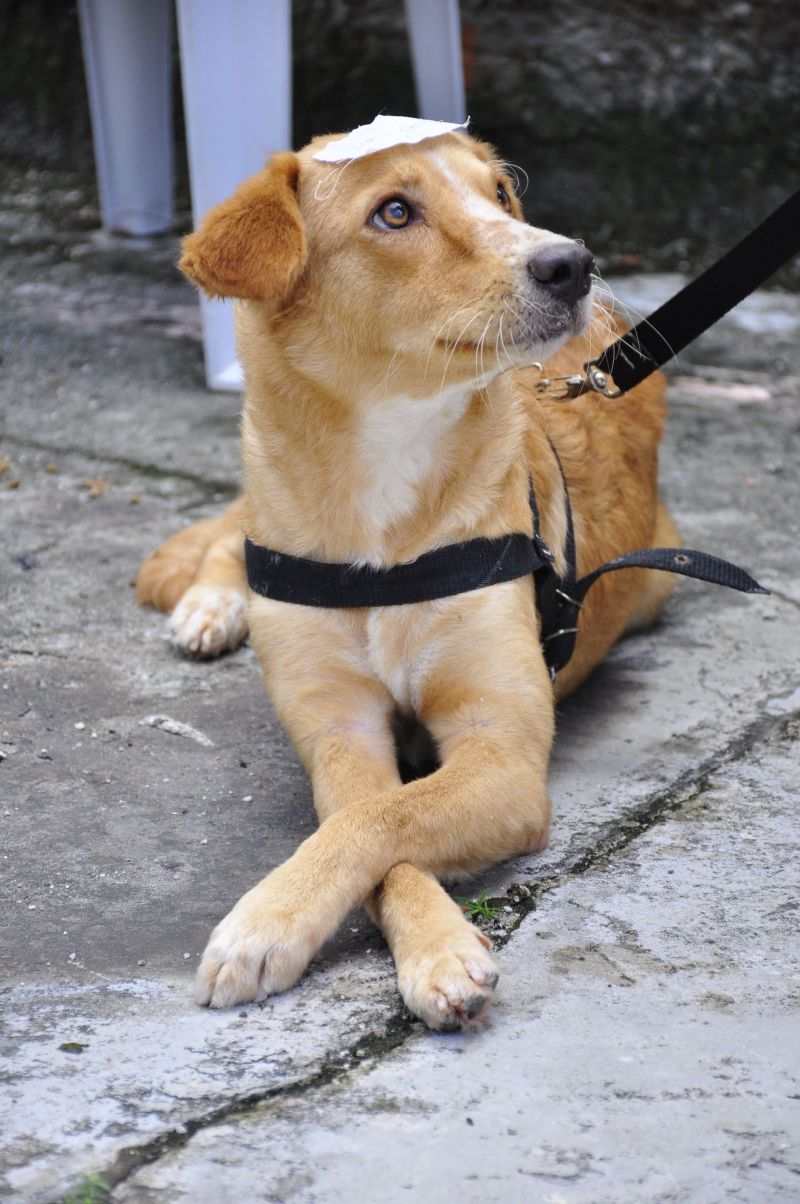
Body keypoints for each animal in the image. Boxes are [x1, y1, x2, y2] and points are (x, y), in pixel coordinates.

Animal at [137, 119, 674, 1025]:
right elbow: (364, 816)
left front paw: (271, 923)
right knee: (233, 524)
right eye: (394, 212)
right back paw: (214, 603)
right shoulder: (337, 730)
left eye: (499, 195)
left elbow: (380, 821)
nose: (572, 263)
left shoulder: (502, 752)